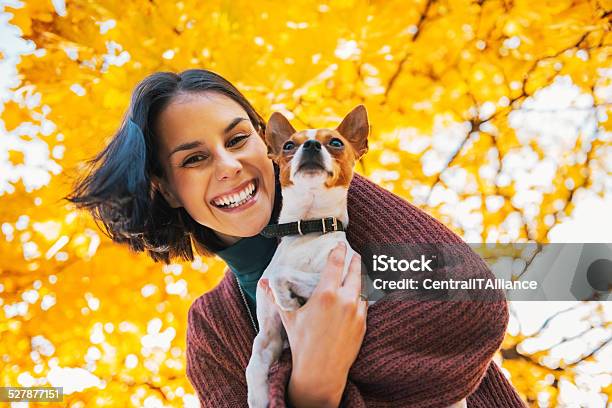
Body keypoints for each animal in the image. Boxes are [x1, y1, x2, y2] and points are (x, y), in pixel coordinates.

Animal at [246, 106, 466, 408]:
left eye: (335, 142)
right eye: (289, 145)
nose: (310, 145)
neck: (308, 230)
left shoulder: (348, 287)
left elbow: (283, 275)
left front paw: (288, 299)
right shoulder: (268, 337)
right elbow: (254, 364)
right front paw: (258, 397)